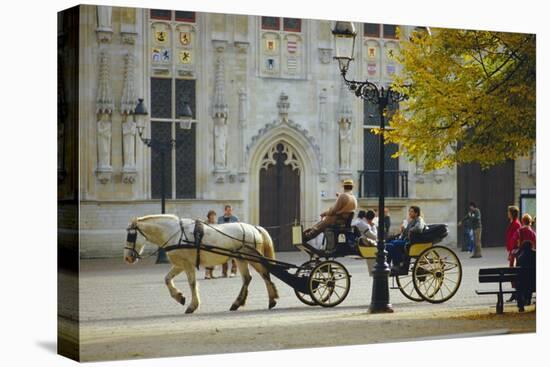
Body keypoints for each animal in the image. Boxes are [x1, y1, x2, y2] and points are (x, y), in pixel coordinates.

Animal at [124, 214, 280, 314]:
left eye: (130, 236)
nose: (127, 258)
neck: (175, 234)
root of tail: (254, 228)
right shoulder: (180, 264)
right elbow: (167, 279)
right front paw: (179, 296)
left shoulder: (187, 265)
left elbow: (192, 283)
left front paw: (192, 305)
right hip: (241, 259)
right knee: (247, 278)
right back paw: (237, 303)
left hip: (252, 258)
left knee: (265, 274)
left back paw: (272, 299)